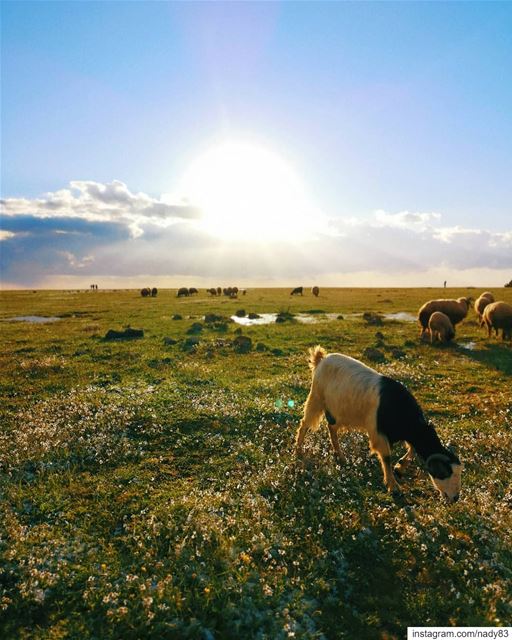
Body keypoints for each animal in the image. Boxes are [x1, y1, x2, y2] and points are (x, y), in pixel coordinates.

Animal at [294, 348, 462, 502]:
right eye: (446, 473)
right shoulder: (378, 432)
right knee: (304, 425)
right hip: (316, 399)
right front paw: (393, 486)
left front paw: (400, 467)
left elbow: (412, 448)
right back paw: (298, 451)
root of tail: (321, 358)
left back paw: (340, 456)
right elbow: (387, 457)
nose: (455, 498)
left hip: (340, 412)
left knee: (331, 427)